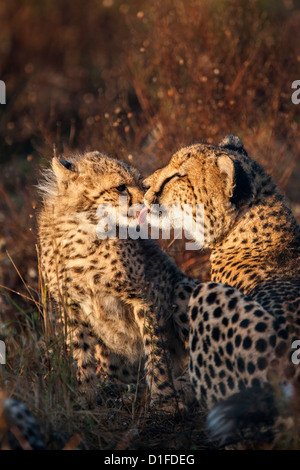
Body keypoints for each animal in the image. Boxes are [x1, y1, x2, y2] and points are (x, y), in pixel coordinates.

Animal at [38, 151, 197, 408]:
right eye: (121, 187)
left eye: (141, 183)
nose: (147, 202)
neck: (85, 231)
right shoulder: (70, 306)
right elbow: (81, 353)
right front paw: (86, 396)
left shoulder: (144, 295)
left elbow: (156, 350)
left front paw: (164, 398)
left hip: (184, 288)